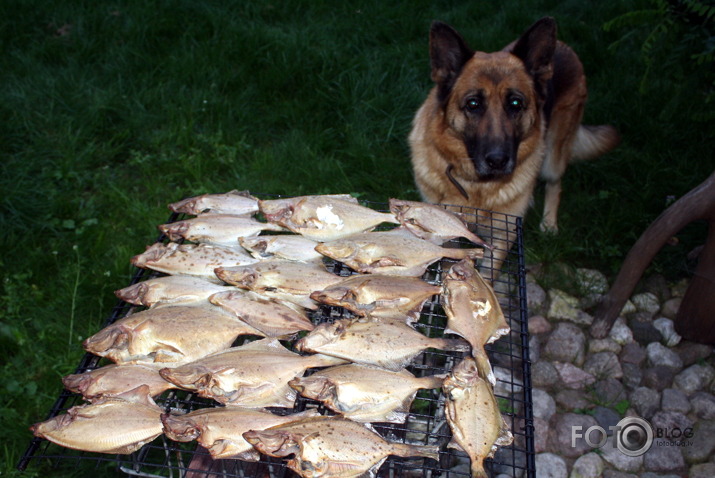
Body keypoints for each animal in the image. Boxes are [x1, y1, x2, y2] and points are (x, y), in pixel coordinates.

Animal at [408, 16, 620, 270]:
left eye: (516, 103)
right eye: (473, 104)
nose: (498, 160)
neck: (477, 187)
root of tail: (562, 46)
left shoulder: (502, 236)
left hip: (554, 154)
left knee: (555, 183)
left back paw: (549, 223)